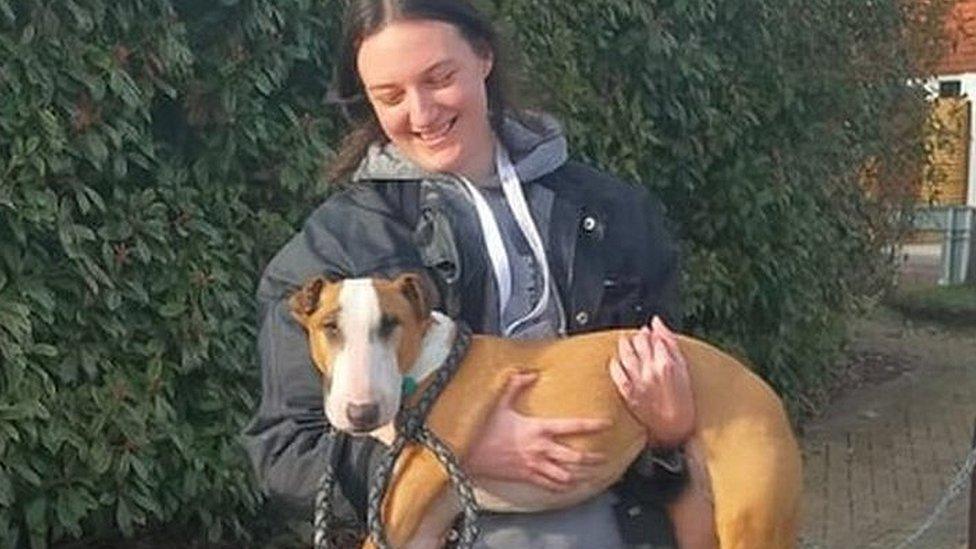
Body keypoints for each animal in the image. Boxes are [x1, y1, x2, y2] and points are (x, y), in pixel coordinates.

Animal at [292, 272, 808, 544]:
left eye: (391, 324)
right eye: (329, 327)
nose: (360, 412)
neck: (425, 366)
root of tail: (766, 392)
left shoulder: (421, 477)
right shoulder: (422, 521)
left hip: (749, 519)